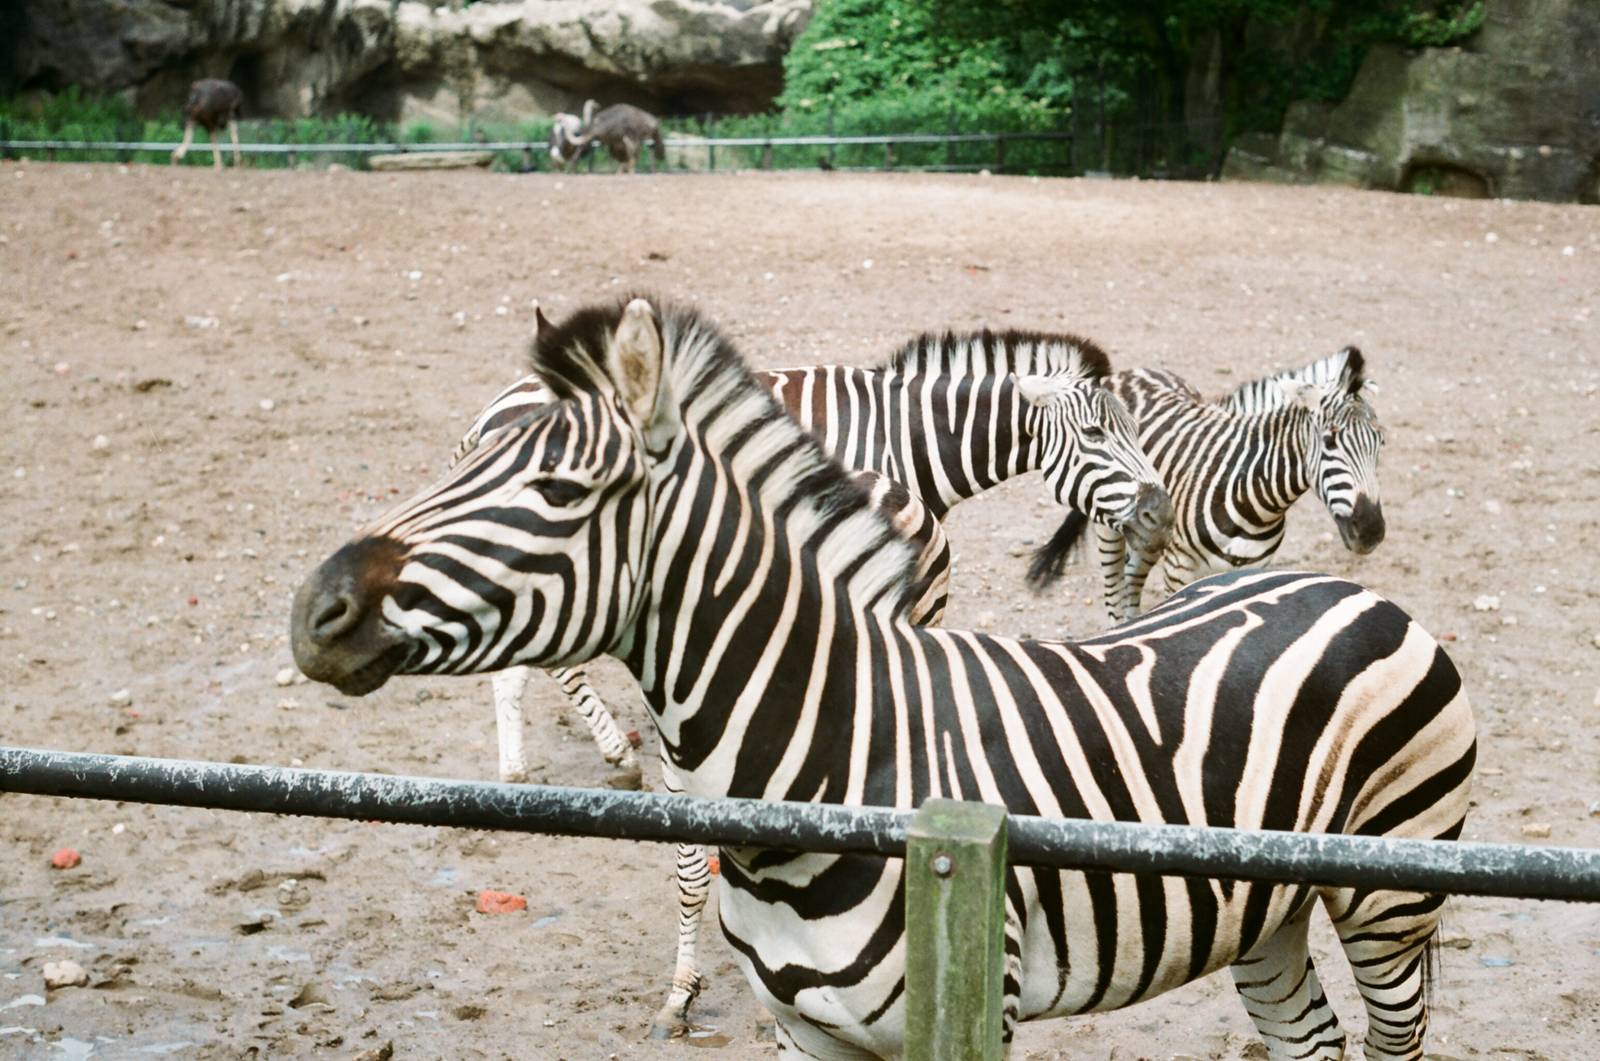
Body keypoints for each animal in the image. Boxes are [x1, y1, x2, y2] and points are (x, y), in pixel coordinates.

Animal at [445, 310, 1171, 1036]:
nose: (1158, 509)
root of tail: (498, 406)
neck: (906, 430)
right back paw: (603, 757)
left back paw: (523, 770)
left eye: (1134, 432)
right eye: (1097, 434)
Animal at [1029, 346, 1386, 623]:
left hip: (1149, 531)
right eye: (1329, 441)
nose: (1371, 530)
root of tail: (1135, 372)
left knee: (1132, 581)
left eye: (1380, 443)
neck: (1255, 501)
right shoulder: (1179, 570)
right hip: (1111, 525)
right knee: (1115, 591)